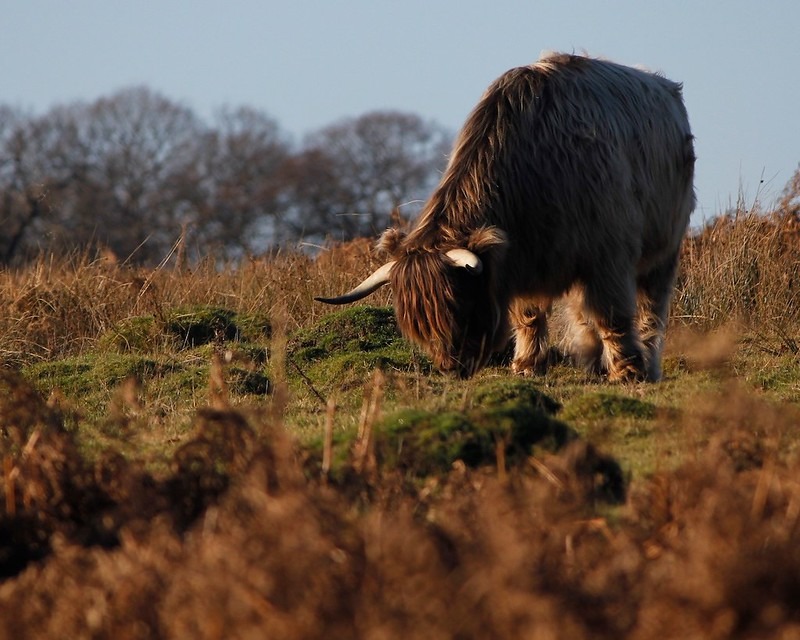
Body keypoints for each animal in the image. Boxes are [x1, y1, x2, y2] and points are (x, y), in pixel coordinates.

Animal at [316, 52, 692, 380]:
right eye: (418, 325)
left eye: (458, 306)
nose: (450, 368)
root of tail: (665, 87)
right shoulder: (524, 258)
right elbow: (528, 315)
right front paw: (527, 365)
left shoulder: (607, 255)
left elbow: (611, 314)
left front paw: (627, 371)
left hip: (664, 247)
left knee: (651, 306)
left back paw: (646, 363)